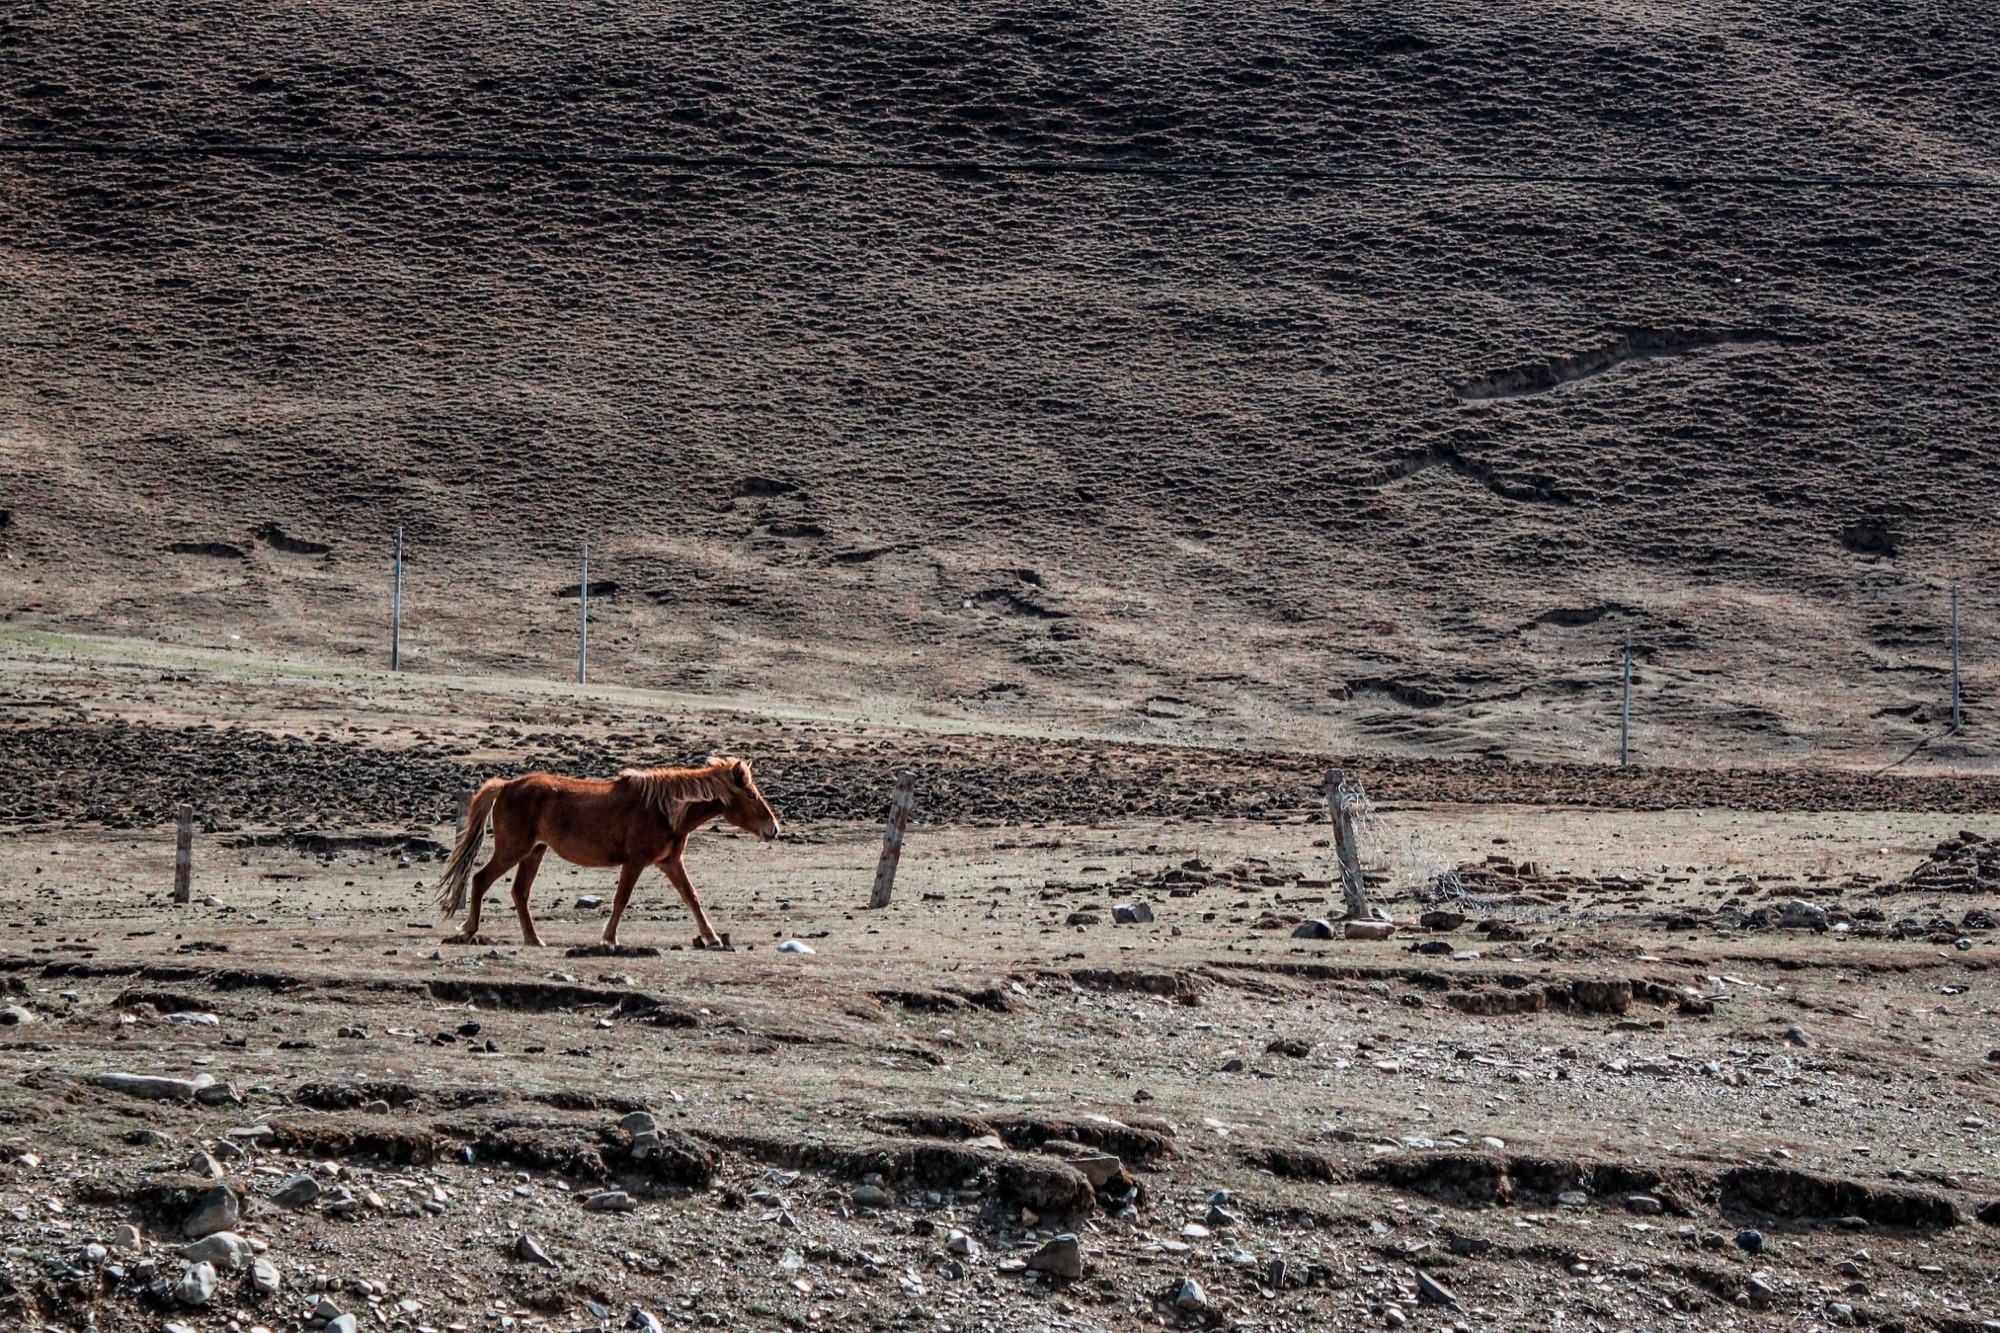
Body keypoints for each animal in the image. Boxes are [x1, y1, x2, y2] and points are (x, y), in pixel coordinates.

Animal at [434, 756, 776, 944]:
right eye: (752, 795)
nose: (773, 828)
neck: (665, 808)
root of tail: (505, 786)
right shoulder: (635, 861)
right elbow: (621, 898)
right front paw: (609, 938)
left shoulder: (670, 862)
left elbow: (691, 896)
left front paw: (713, 937)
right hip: (513, 849)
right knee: (480, 879)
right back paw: (470, 930)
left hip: (534, 851)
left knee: (519, 892)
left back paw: (534, 939)